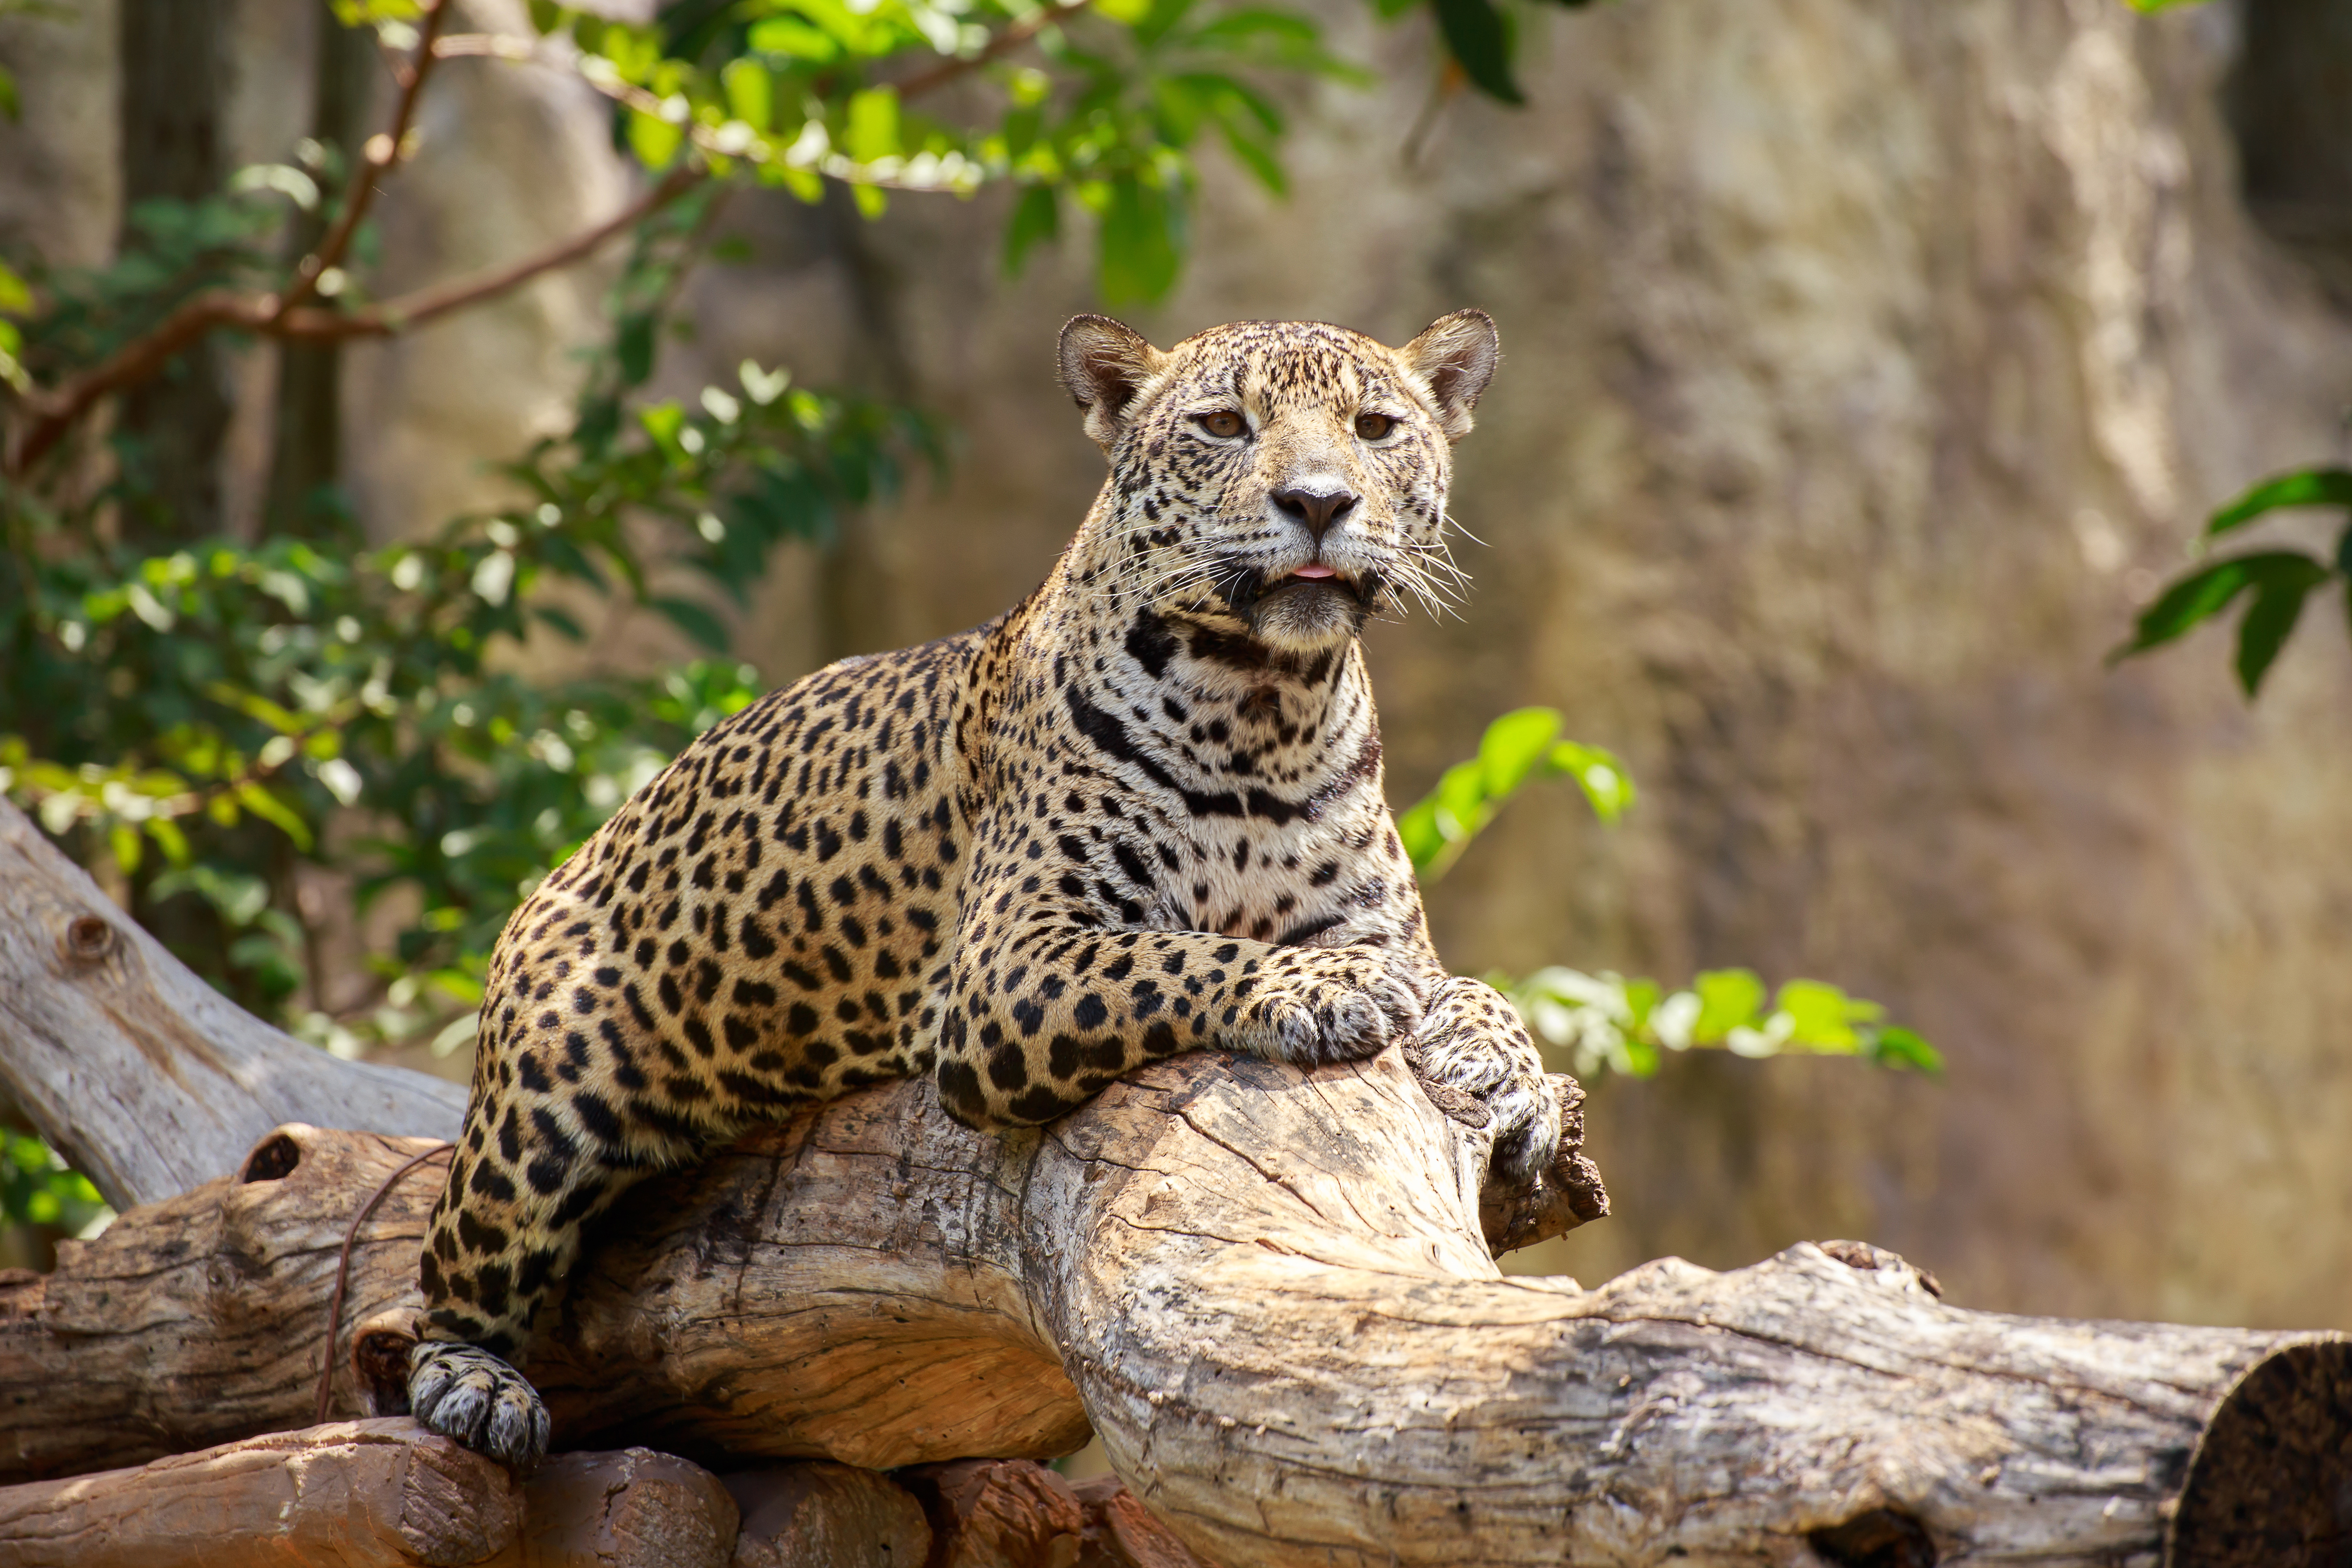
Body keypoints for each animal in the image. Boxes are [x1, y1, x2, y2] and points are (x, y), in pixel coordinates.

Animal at [414, 310, 1571, 1476]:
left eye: (1375, 429)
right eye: (1222, 425)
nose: (1322, 502)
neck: (1265, 709)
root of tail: (580, 854)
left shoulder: (1385, 927)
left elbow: (1474, 989)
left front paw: (1502, 1069)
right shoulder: (1011, 961)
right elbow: (1179, 950)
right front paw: (1321, 990)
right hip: (541, 1105)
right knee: (439, 1283)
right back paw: (475, 1388)